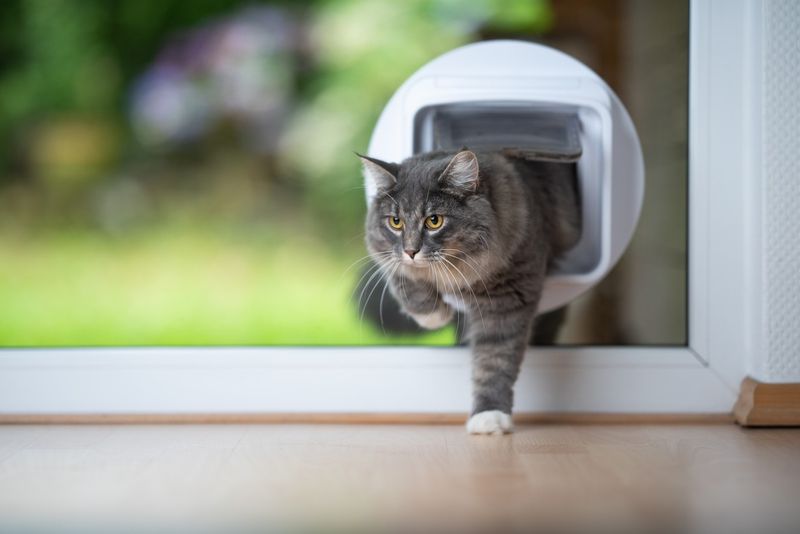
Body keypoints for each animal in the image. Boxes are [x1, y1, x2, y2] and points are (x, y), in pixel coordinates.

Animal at [362, 150, 580, 436]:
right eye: (395, 222)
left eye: (434, 221)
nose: (411, 251)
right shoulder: (390, 260)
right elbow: (407, 281)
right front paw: (435, 315)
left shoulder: (506, 303)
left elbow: (493, 362)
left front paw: (489, 416)